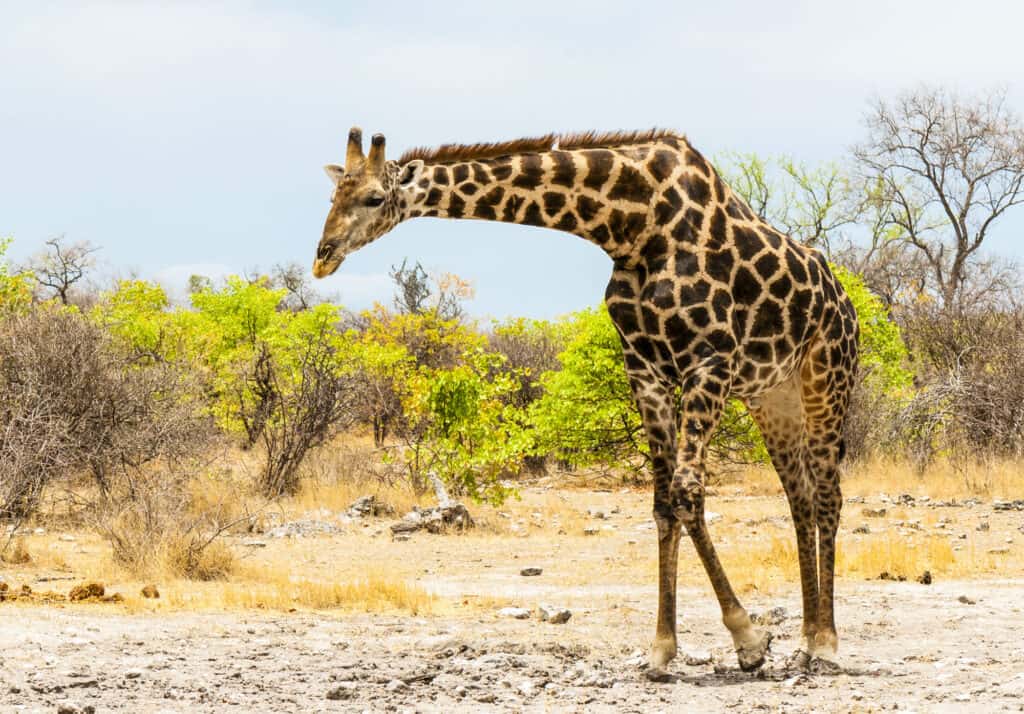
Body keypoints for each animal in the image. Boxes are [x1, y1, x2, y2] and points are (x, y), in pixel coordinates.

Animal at [313, 127, 859, 677]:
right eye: (334, 195)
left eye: (373, 198)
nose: (323, 255)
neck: (630, 226)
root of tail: (846, 301)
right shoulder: (645, 369)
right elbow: (663, 503)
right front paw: (662, 648)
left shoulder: (710, 362)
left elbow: (686, 493)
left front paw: (748, 640)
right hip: (773, 397)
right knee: (800, 499)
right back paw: (805, 640)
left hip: (828, 379)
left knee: (828, 495)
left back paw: (827, 643)